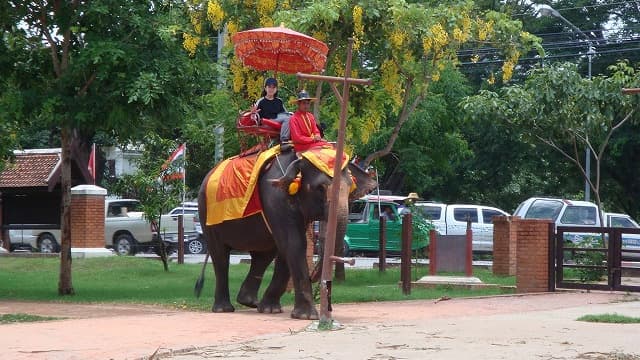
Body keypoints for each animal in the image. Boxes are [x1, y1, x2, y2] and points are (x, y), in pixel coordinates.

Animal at [195, 148, 376, 320]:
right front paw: (306, 316)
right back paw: (224, 309)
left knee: (263, 255)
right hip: (207, 214)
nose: (314, 279)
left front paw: (271, 310)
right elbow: (294, 243)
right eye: (320, 188)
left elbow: (286, 248)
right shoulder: (275, 197)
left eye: (351, 188)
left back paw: (250, 302)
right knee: (220, 256)